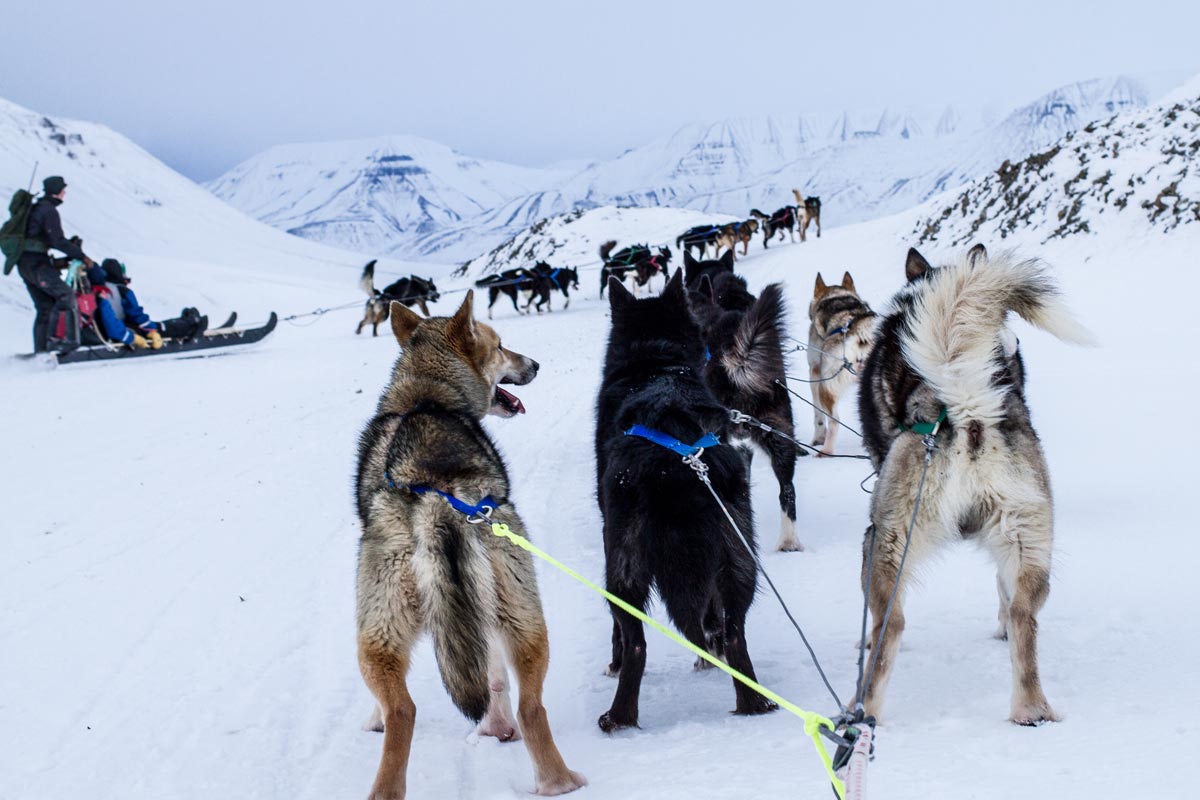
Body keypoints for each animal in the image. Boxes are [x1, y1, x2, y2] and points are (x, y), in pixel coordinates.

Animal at [592, 271, 777, 734]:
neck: (654, 364)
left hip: (621, 566)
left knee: (635, 642)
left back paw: (618, 717)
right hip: (739, 554)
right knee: (733, 630)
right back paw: (753, 701)